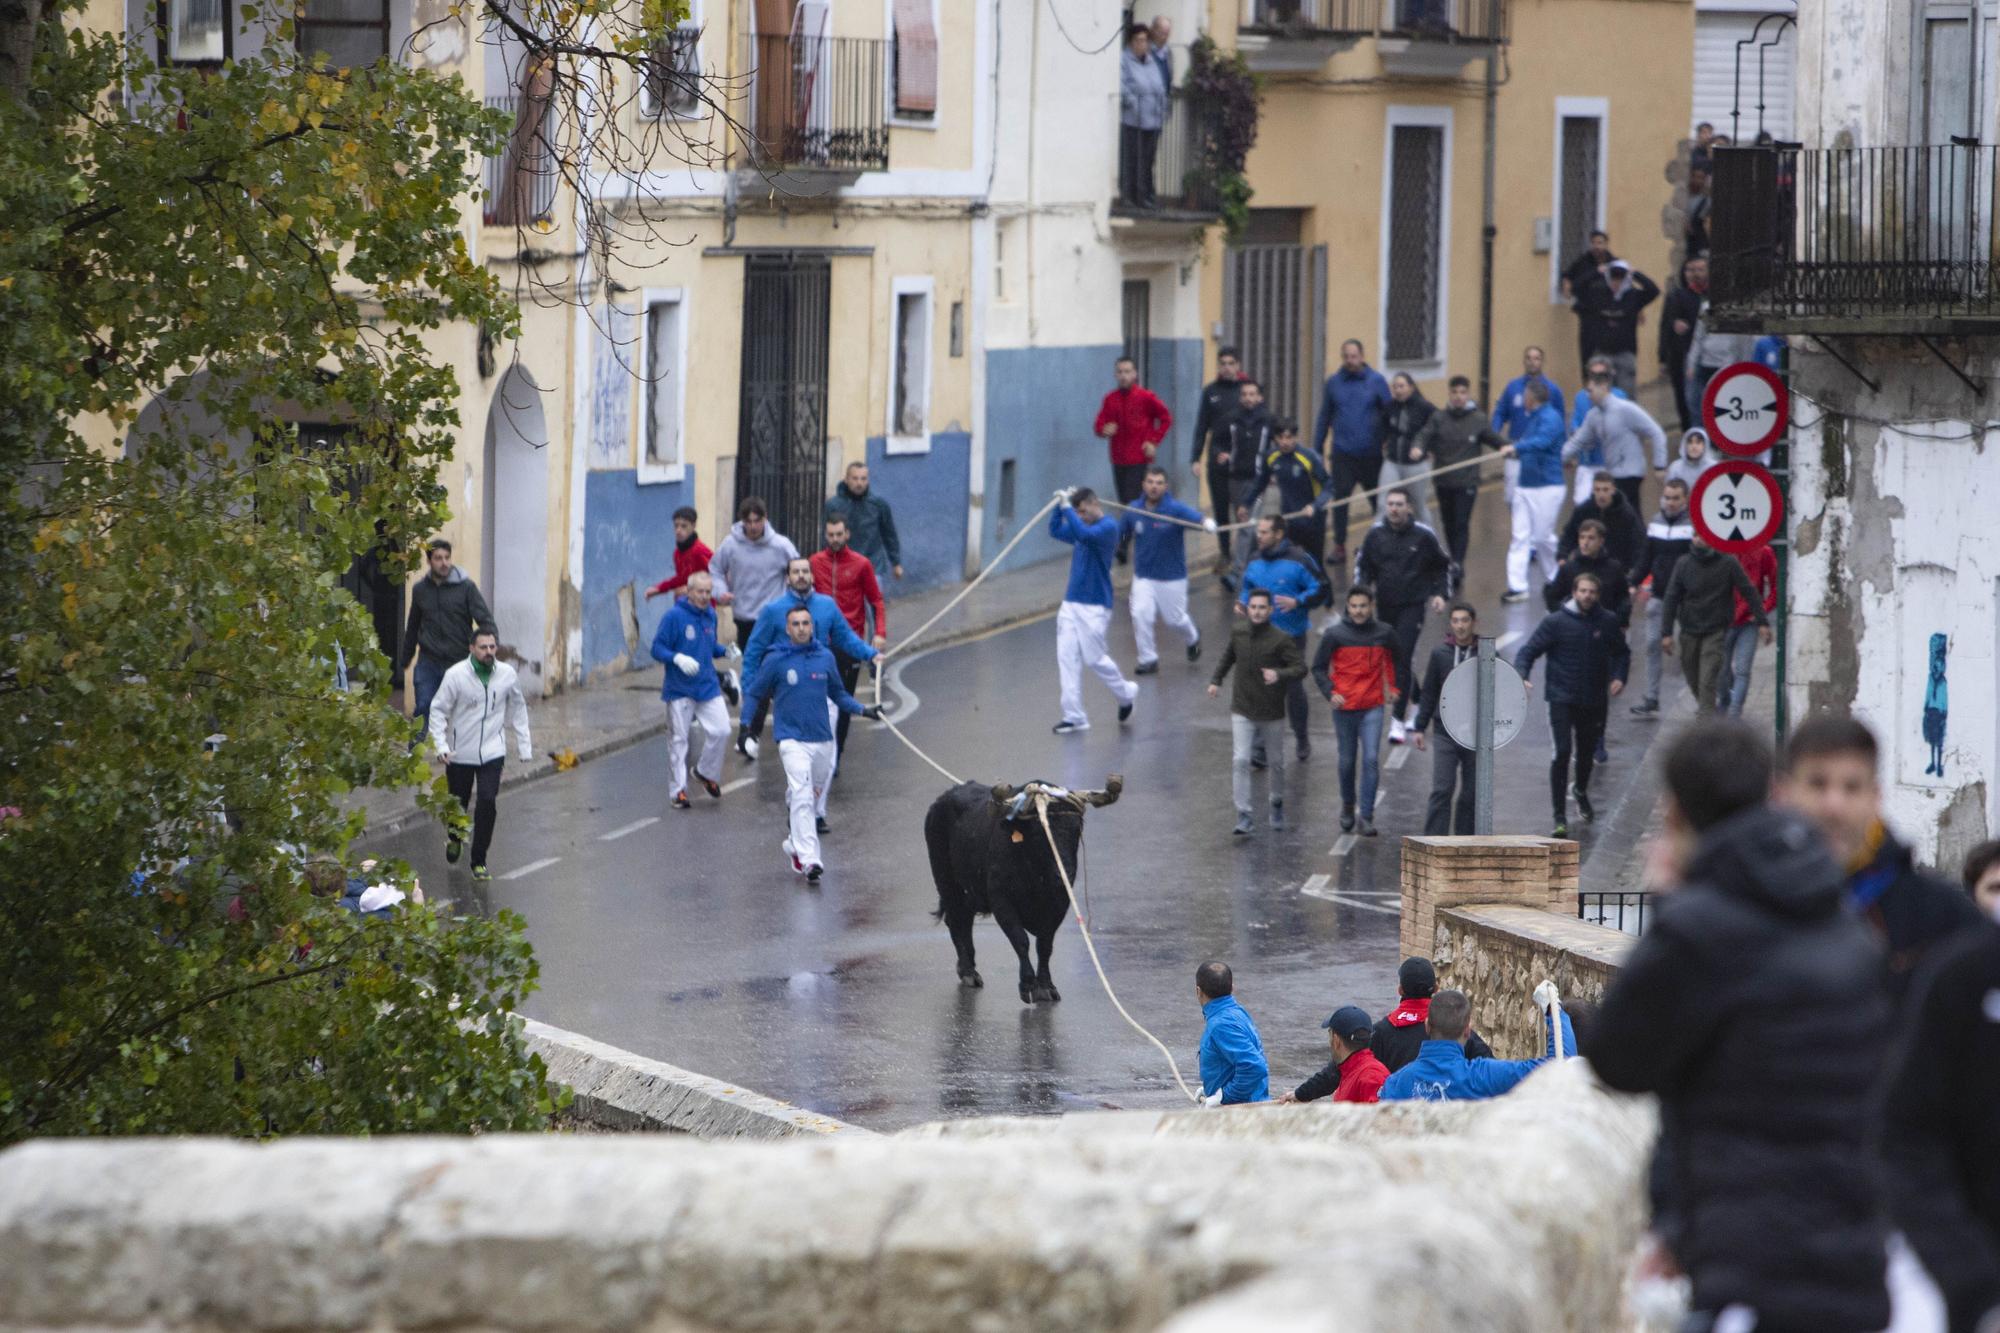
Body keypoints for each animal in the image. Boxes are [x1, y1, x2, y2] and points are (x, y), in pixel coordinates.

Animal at [924, 772, 1128, 1000]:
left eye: (1076, 830)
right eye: (1040, 833)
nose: (1064, 873)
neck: (1035, 874)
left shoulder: (1059, 903)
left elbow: (1044, 945)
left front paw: (1046, 986)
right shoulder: (1002, 900)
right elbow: (1020, 939)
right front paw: (1028, 985)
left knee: (963, 922)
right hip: (947, 884)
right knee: (957, 921)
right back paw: (969, 972)